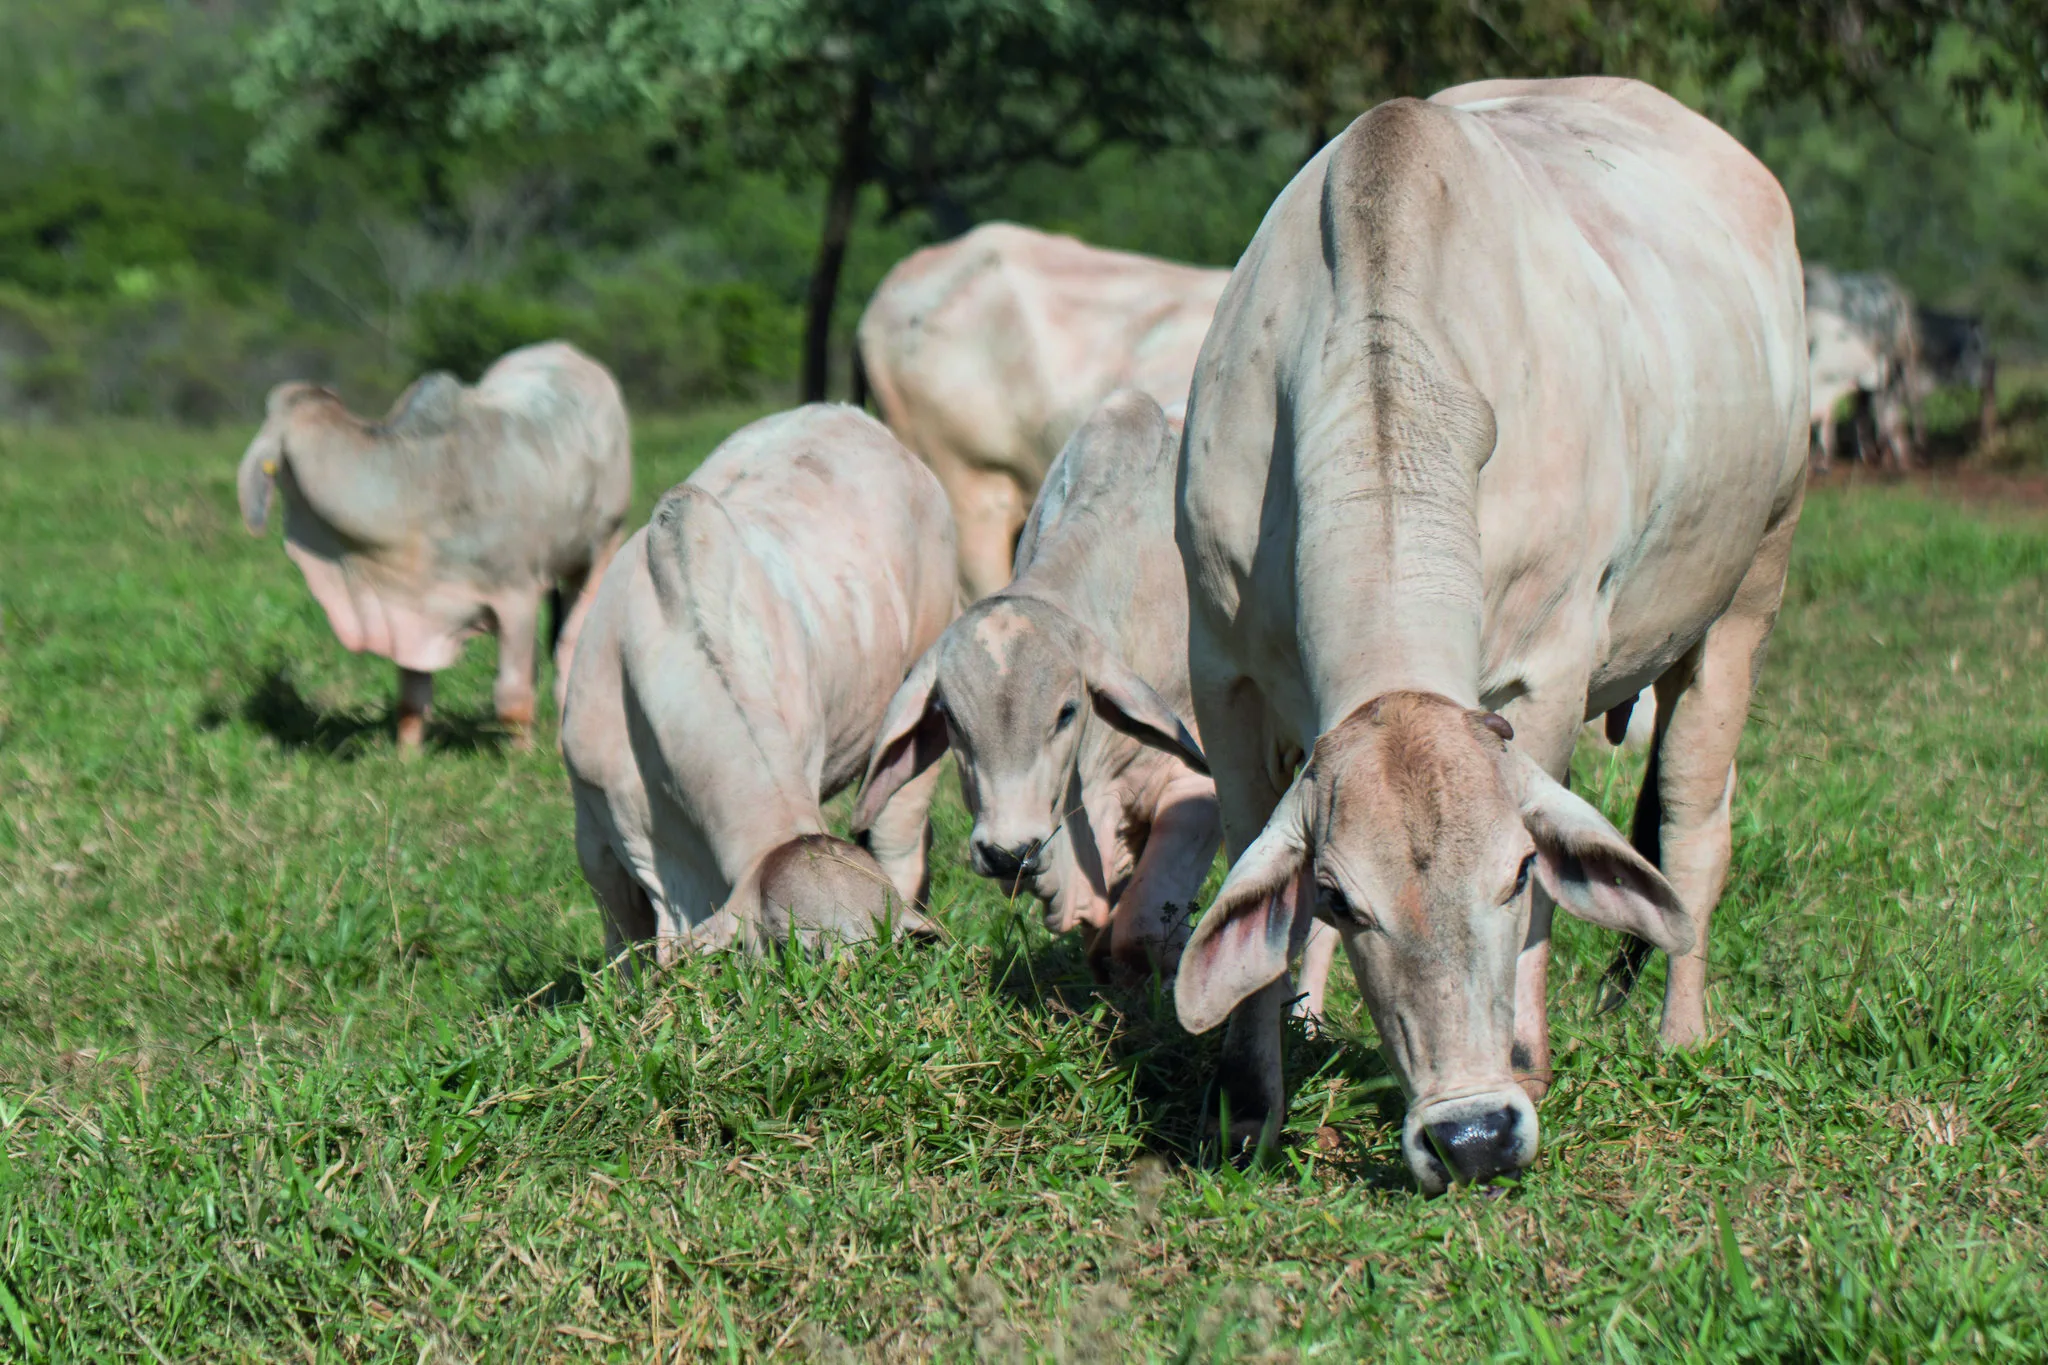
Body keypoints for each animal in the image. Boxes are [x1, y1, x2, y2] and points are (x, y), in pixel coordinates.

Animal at [236, 341, 630, 749]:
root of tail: (564, 350)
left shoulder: (517, 596)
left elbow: (513, 699)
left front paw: (522, 754)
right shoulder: (407, 606)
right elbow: (411, 698)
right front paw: (406, 756)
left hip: (603, 544)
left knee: (572, 643)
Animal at [561, 405, 958, 961]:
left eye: (884, 947)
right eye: (796, 948)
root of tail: (855, 416)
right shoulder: (593, 829)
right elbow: (623, 938)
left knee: (898, 832)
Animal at [1171, 82, 1810, 1195]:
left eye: (1515, 873)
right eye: (1336, 897)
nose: (1470, 1134)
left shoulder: (1544, 673)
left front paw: (1529, 1056)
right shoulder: (1225, 674)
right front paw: (1251, 1104)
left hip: (1746, 596)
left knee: (1696, 821)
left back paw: (1681, 1033)